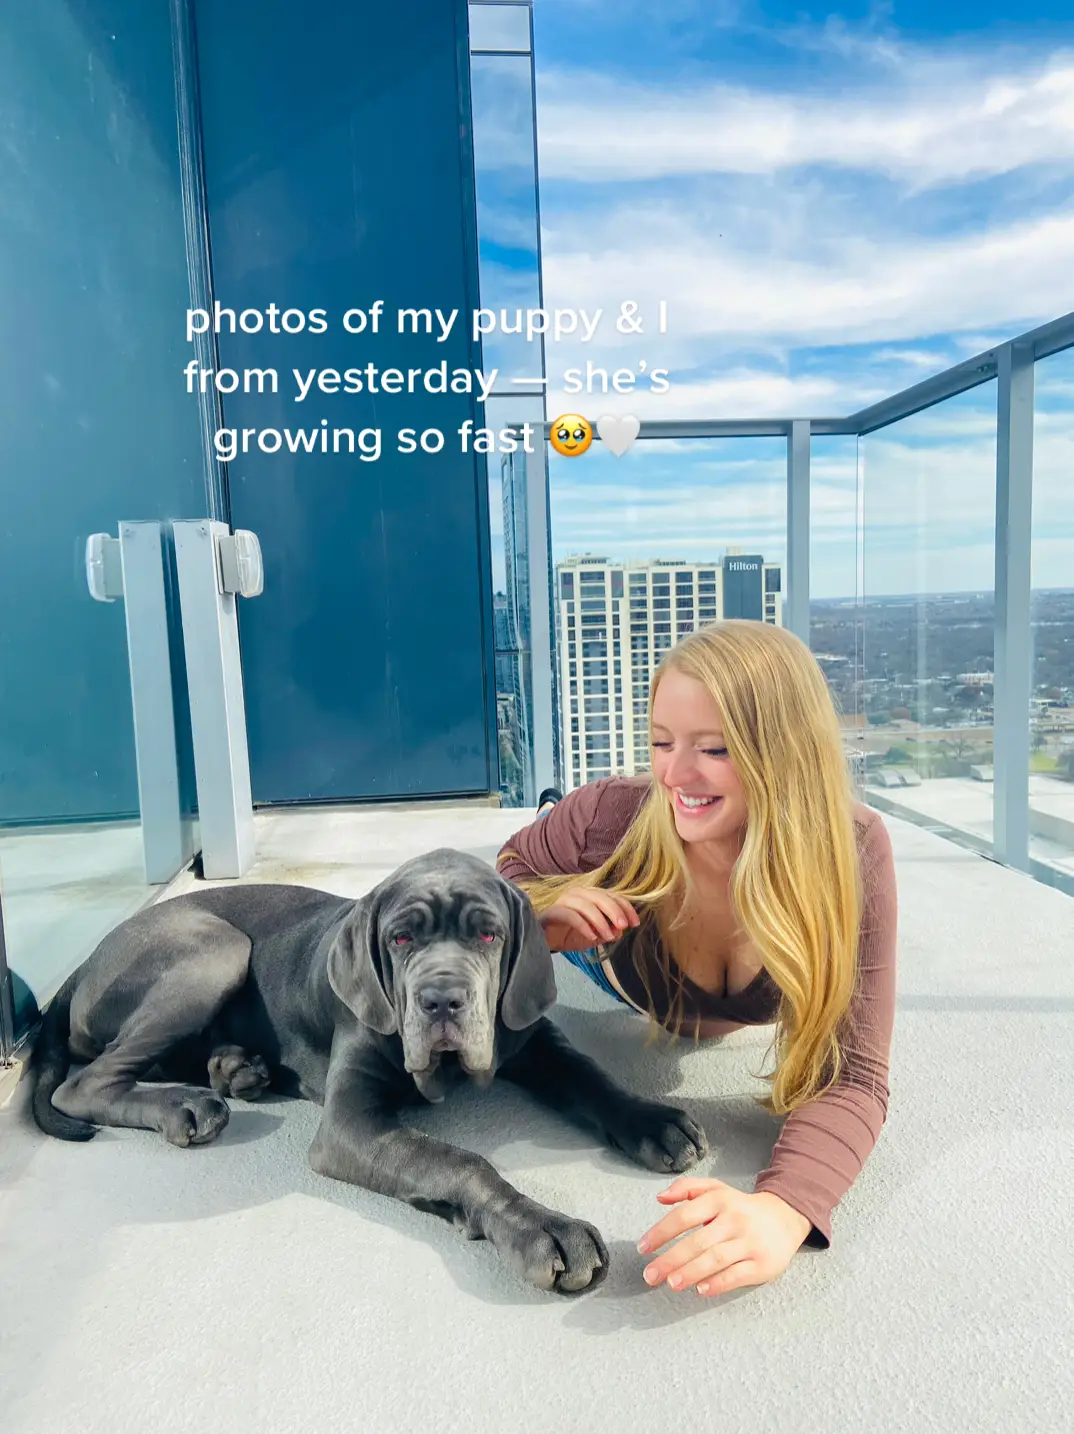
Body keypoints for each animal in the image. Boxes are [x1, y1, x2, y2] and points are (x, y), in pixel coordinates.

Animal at [29, 843, 708, 1296]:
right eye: (401, 940)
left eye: (488, 936)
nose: (441, 1001)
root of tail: (88, 958)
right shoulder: (350, 1125)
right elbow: (457, 1160)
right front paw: (543, 1227)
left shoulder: (534, 1040)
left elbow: (589, 1075)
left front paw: (653, 1121)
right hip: (213, 947)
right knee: (84, 1082)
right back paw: (186, 1103)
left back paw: (238, 1068)